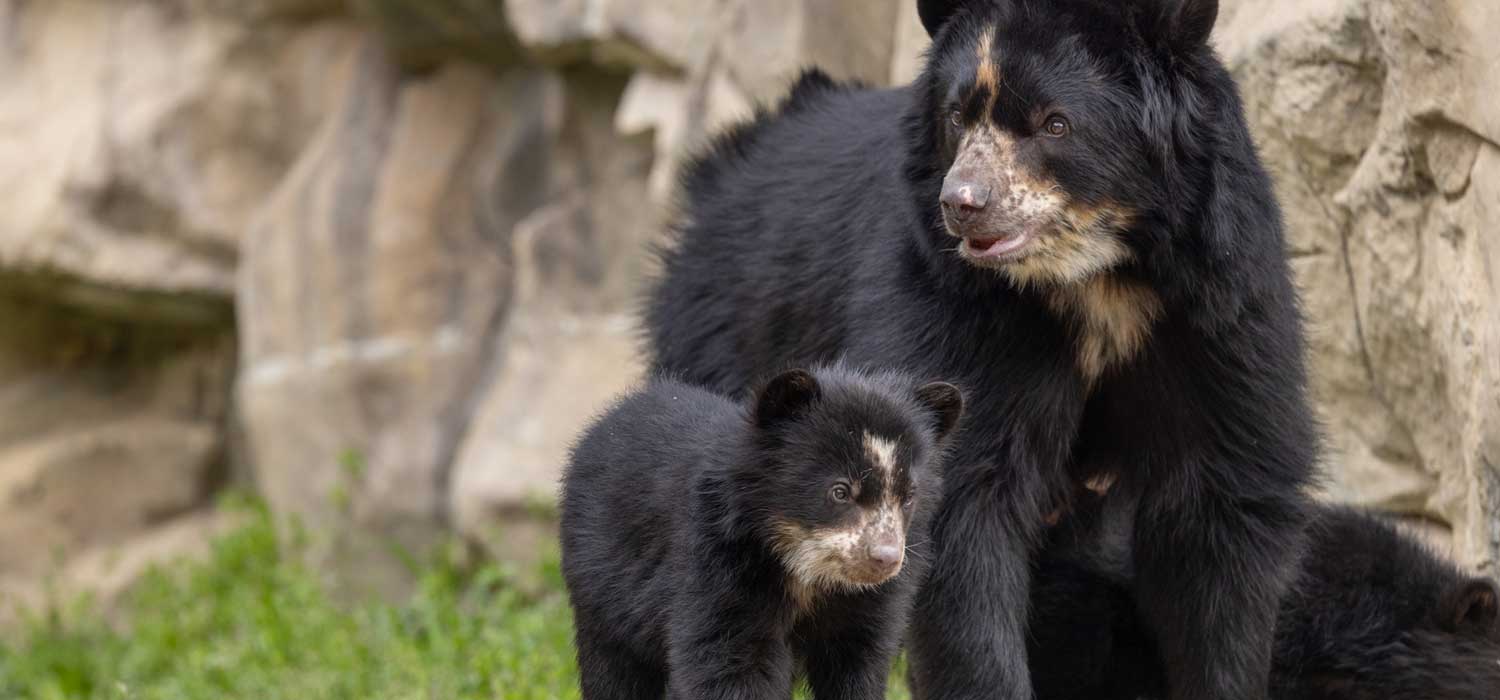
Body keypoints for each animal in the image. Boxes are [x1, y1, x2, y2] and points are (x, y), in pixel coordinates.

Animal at [645, 1, 1314, 700]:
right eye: (956, 117)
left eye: (1054, 123)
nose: (962, 203)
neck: (1095, 281)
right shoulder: (954, 310)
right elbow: (967, 509)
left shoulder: (1218, 314)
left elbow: (1222, 513)